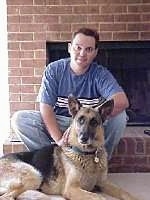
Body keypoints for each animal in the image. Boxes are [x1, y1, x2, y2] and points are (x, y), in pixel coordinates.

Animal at [0, 96, 139, 199]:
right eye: (80, 120)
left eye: (94, 122)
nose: (83, 138)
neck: (88, 154)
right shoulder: (72, 189)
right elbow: (99, 197)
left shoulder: (104, 183)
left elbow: (124, 192)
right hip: (34, 175)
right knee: (8, 196)